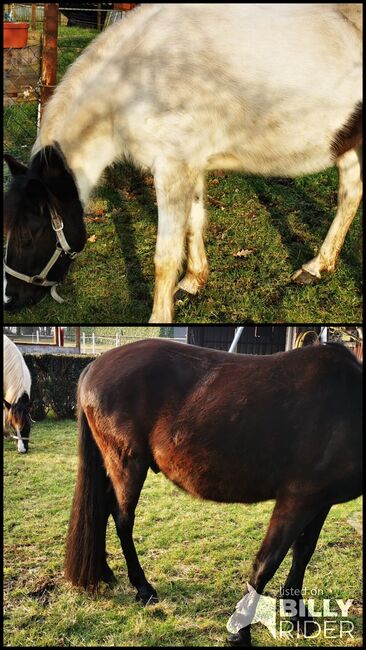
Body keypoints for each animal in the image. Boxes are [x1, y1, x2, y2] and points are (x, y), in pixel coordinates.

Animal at [3, 2, 364, 320]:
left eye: (27, 236)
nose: (11, 300)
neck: (140, 76)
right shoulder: (190, 164)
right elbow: (194, 223)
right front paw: (193, 281)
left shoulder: (172, 168)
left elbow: (165, 255)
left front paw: (159, 318)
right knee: (350, 194)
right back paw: (317, 266)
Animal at [65, 340, 360, 644]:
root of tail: (94, 366)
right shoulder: (296, 500)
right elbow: (268, 561)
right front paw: (240, 629)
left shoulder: (319, 502)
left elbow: (303, 553)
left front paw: (298, 616)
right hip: (128, 464)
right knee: (122, 519)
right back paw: (143, 588)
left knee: (101, 511)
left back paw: (104, 572)